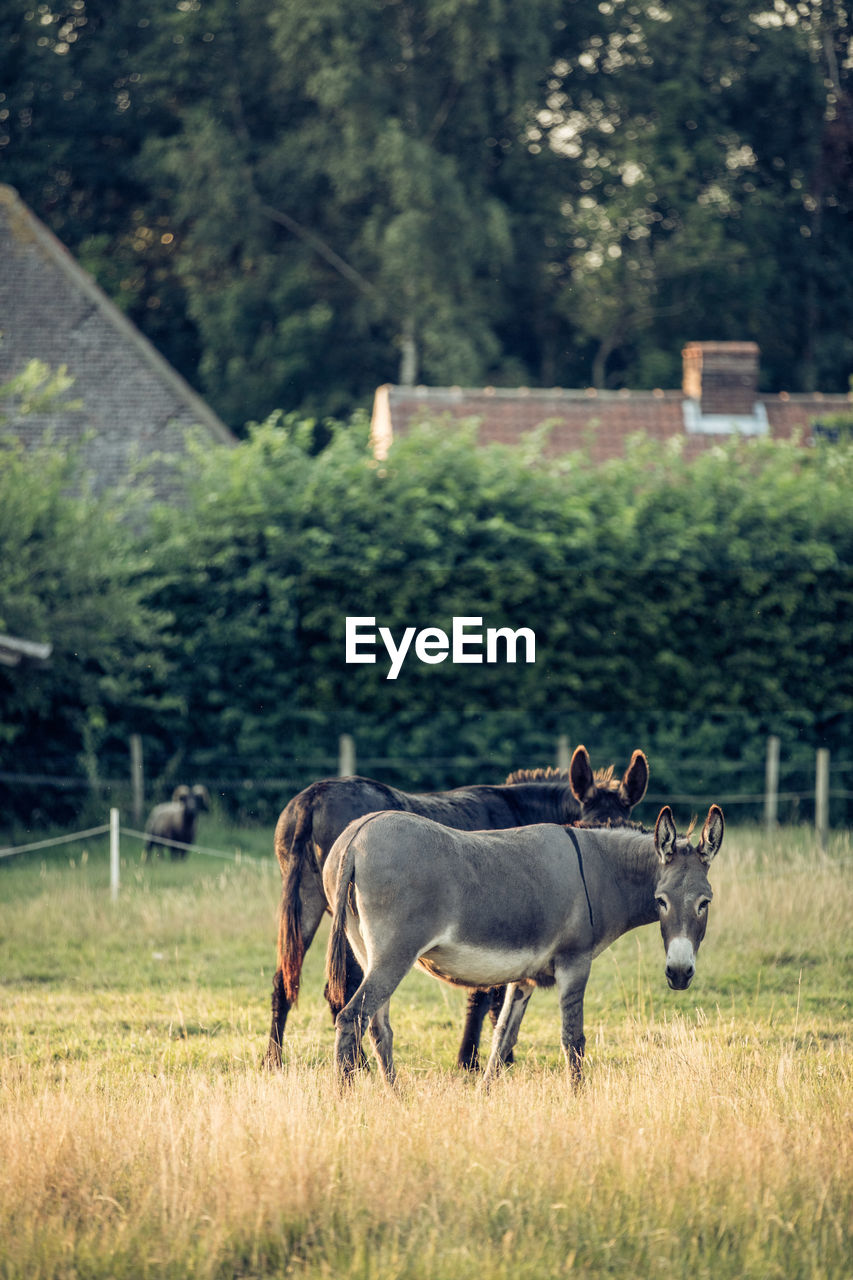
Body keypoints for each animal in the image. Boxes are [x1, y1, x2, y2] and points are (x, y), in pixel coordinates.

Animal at [266, 747, 645, 1064]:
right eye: (587, 825)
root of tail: (312, 798)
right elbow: (486, 996)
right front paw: (478, 1060)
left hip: (308, 901)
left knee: (285, 981)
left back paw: (274, 1061)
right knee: (343, 992)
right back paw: (358, 1065)